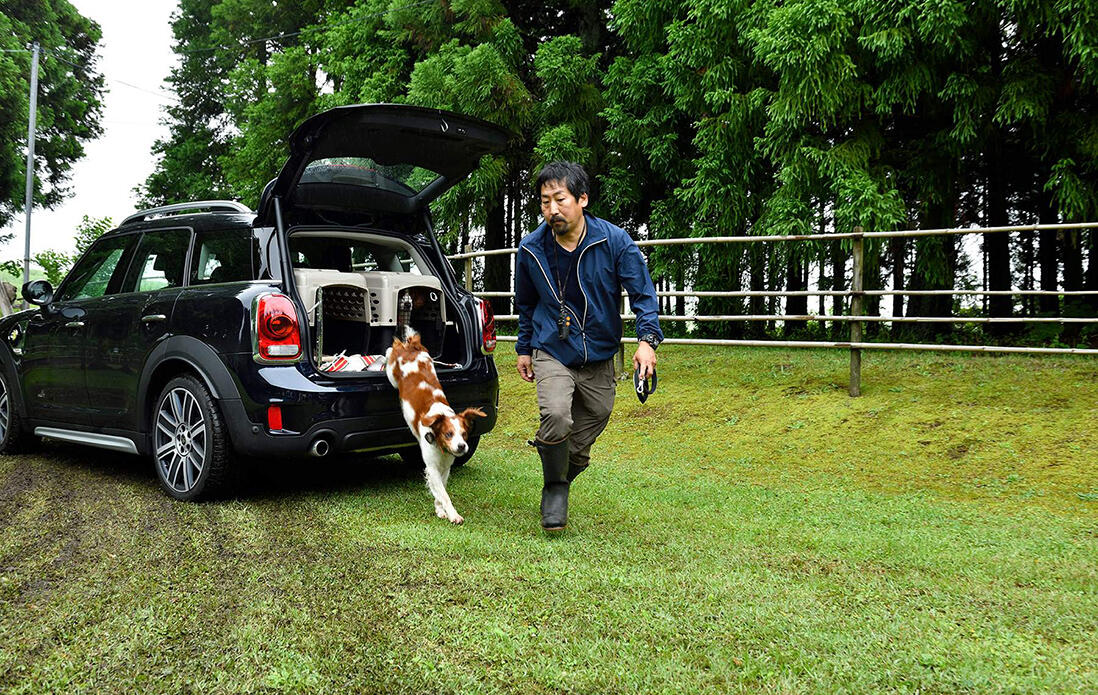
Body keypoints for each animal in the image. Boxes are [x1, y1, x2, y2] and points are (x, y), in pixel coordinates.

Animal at [385, 333, 486, 524]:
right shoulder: (432, 467)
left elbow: (441, 490)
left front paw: (440, 510)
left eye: (464, 434)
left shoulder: (445, 468)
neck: (441, 448)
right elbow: (444, 494)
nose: (462, 447)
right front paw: (453, 514)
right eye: (448, 434)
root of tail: (412, 347)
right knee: (390, 350)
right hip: (391, 371)